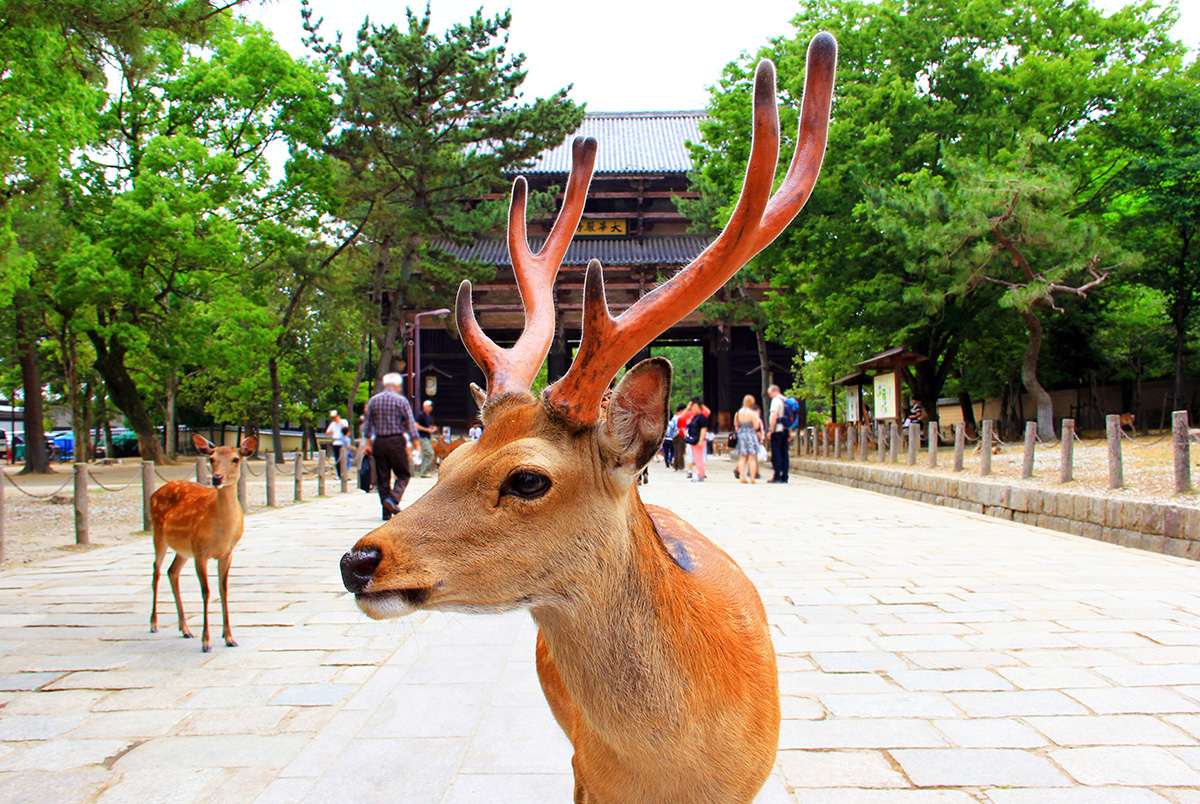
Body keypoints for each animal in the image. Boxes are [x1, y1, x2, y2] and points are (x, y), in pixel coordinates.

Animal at [150, 434, 257, 653]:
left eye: (236, 459)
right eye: (212, 459)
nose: (217, 478)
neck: (222, 531)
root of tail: (154, 493)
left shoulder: (227, 553)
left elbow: (223, 589)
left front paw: (229, 638)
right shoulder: (201, 551)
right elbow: (206, 591)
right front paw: (206, 642)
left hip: (183, 549)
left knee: (172, 571)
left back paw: (185, 629)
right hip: (158, 533)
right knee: (156, 570)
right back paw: (154, 624)